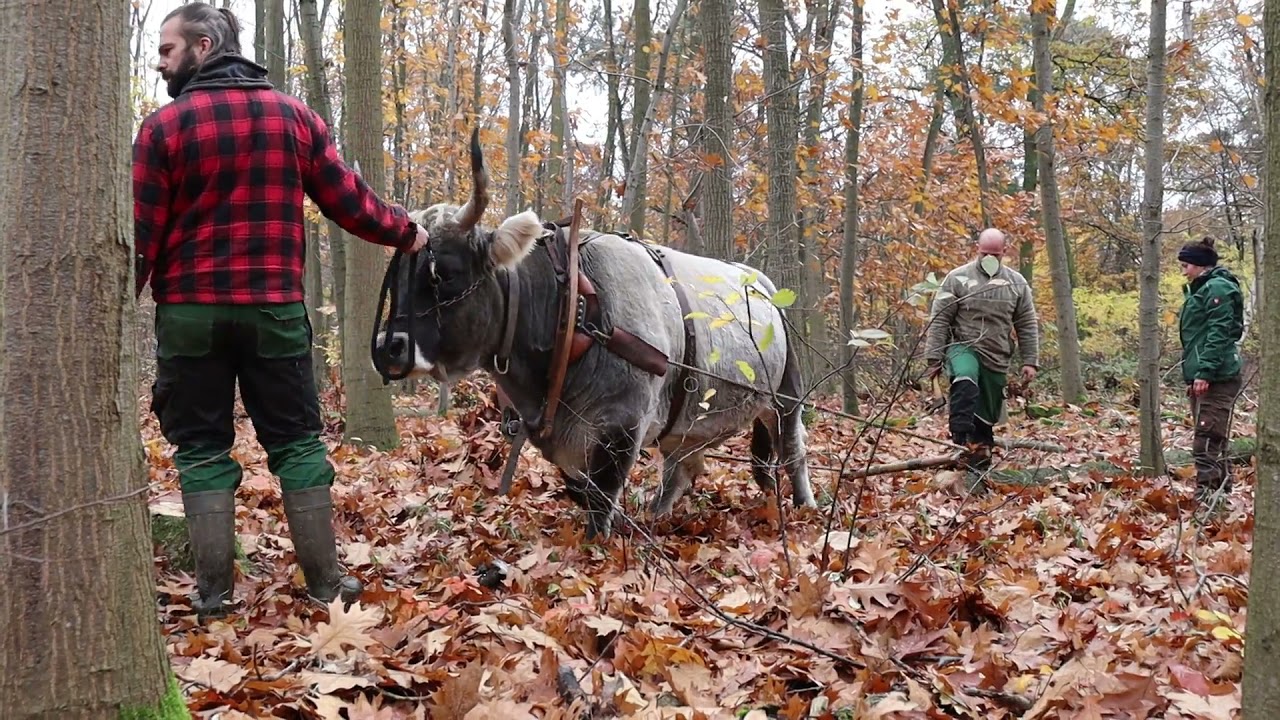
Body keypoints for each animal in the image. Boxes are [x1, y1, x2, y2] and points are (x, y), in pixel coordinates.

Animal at [372, 130, 816, 540]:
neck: (573, 311)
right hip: (692, 418)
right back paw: (657, 515)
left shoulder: (621, 426)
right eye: (395, 279)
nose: (387, 347)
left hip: (786, 394)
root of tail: (760, 281)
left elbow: (600, 500)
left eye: (443, 273)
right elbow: (581, 490)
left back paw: (804, 506)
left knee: (793, 449)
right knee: (683, 464)